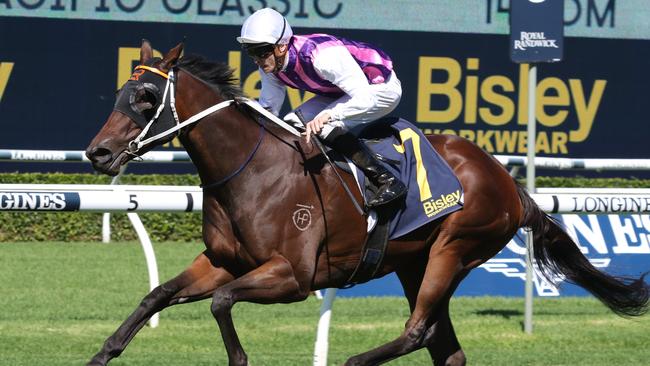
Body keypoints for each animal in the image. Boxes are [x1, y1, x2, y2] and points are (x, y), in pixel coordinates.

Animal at [85, 41, 644, 364]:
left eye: (145, 98)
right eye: (118, 93)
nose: (98, 153)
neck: (252, 171)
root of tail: (510, 184)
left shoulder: (293, 277)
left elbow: (222, 303)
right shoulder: (224, 262)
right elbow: (156, 296)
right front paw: (102, 353)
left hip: (455, 249)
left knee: (419, 332)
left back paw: (354, 362)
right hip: (416, 263)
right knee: (444, 347)